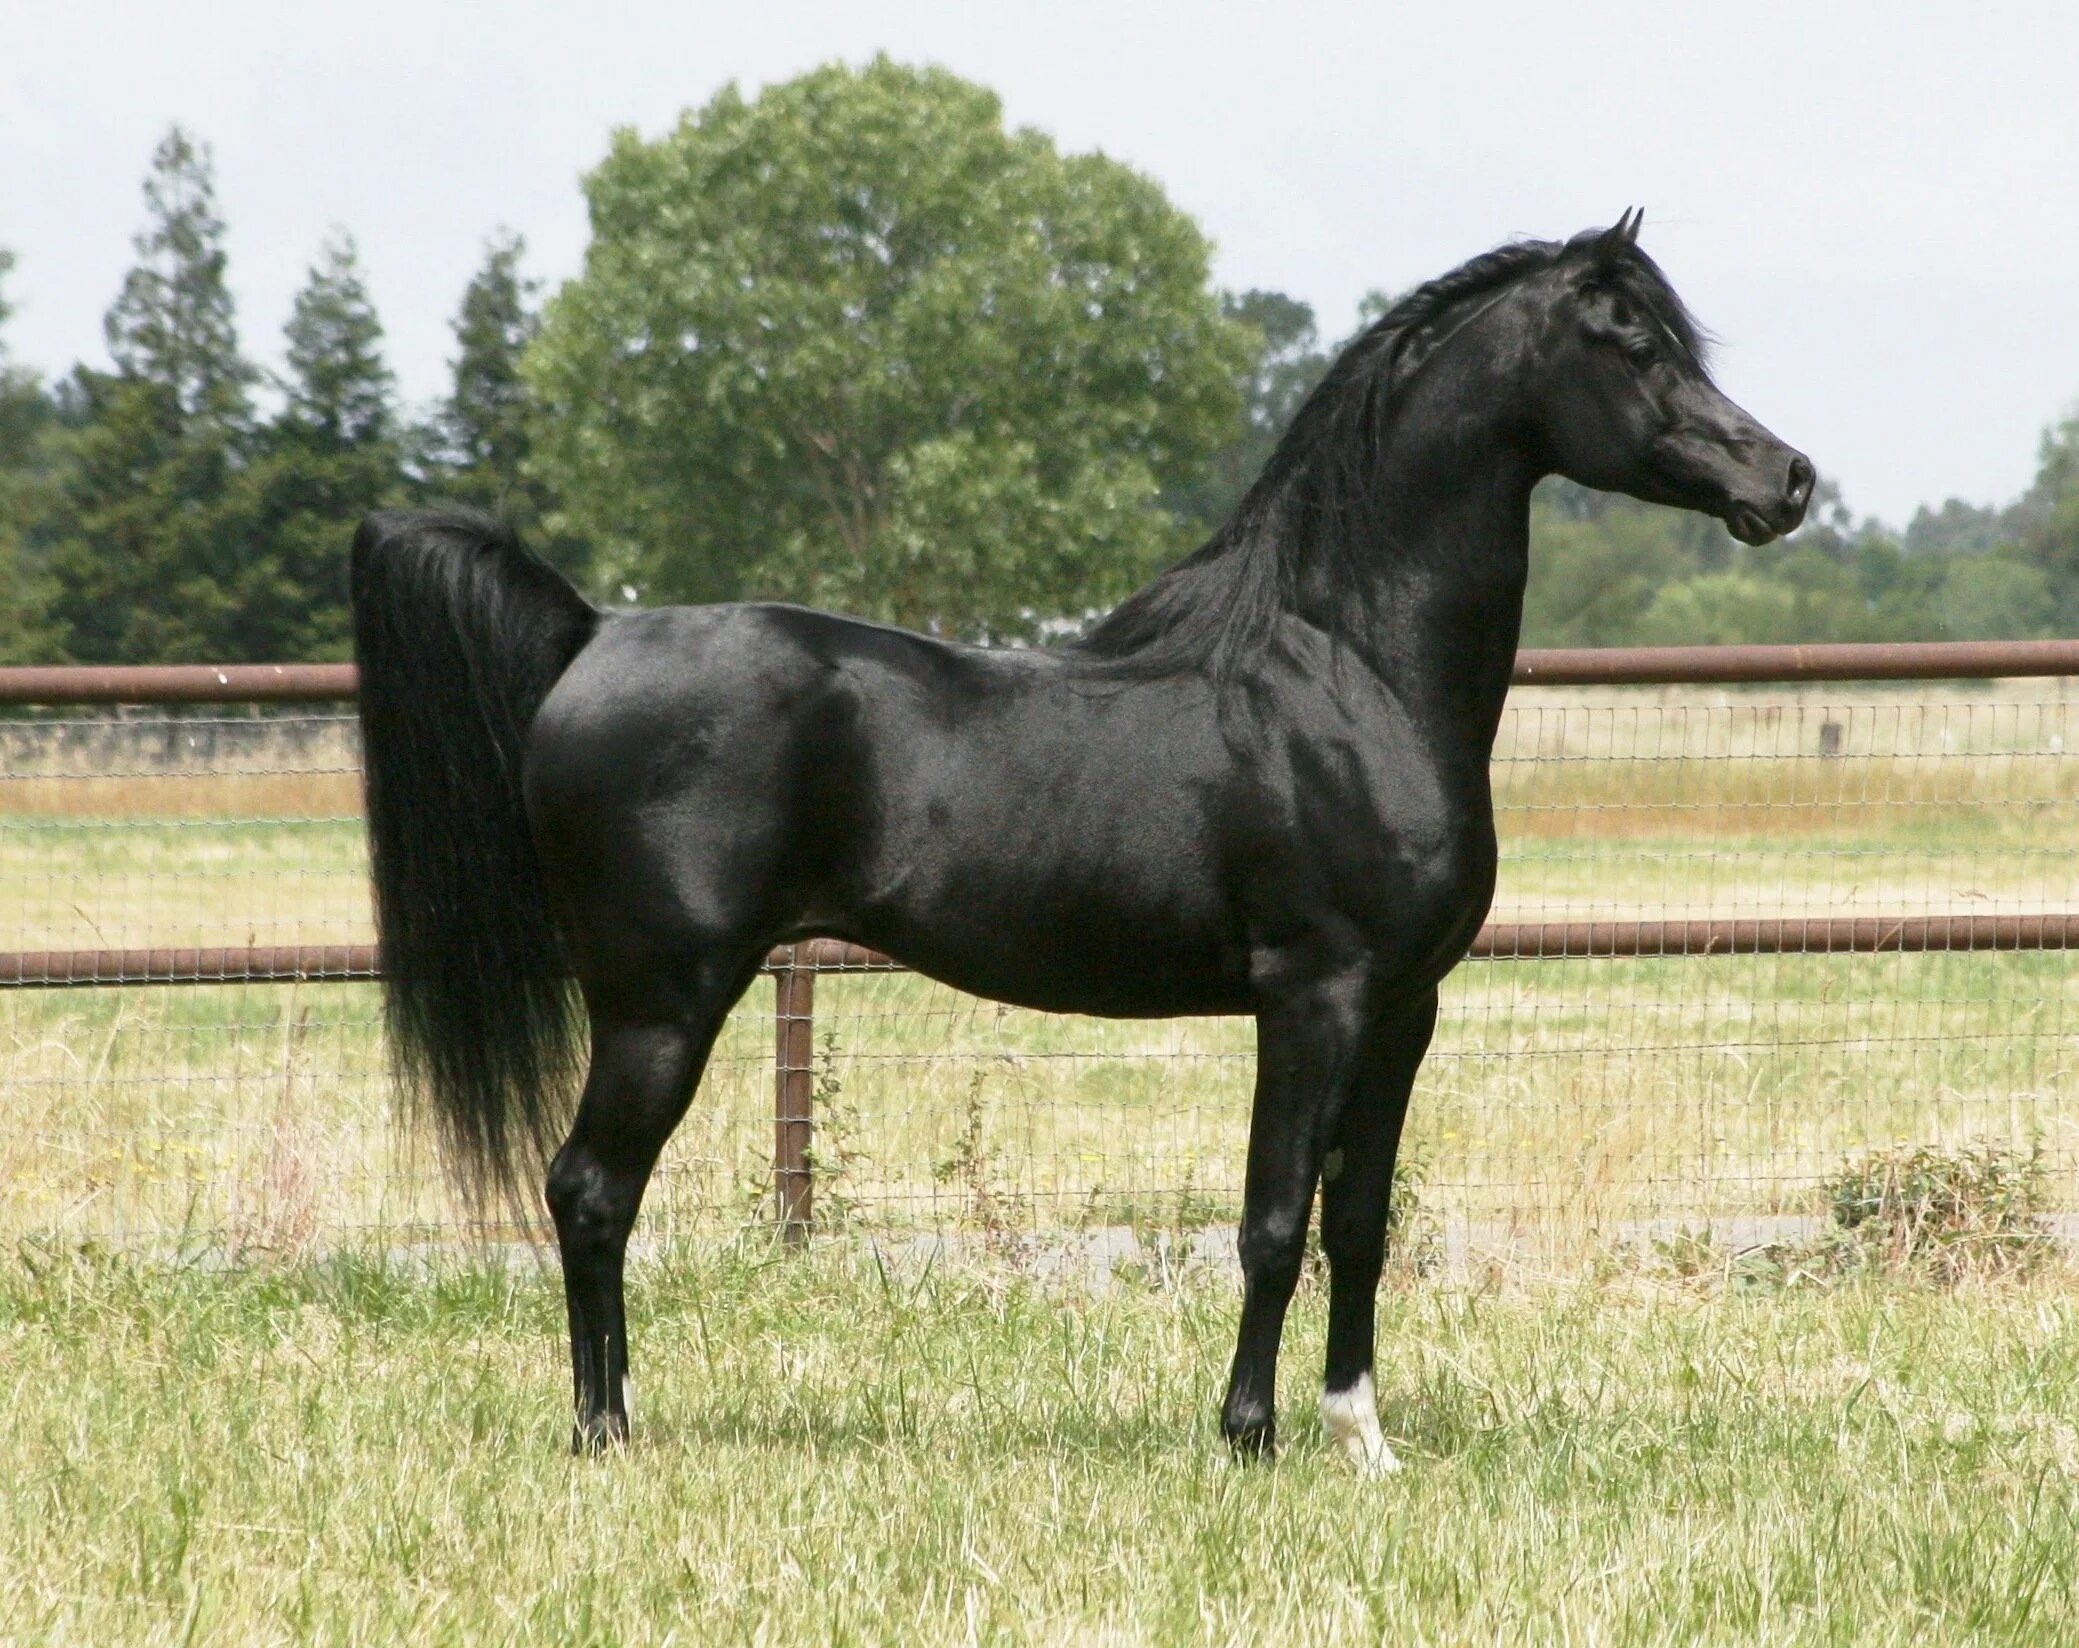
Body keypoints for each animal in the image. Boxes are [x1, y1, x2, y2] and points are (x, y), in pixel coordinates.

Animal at [353, 211, 1804, 1471]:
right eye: (1627, 338)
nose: (1783, 479)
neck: (1346, 673)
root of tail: (593, 630)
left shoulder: (1403, 1008)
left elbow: (1360, 1222)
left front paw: (1362, 1441)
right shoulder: (1312, 995)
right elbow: (1271, 1219)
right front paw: (1247, 1437)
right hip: (662, 1000)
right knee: (590, 1190)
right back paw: (603, 1434)